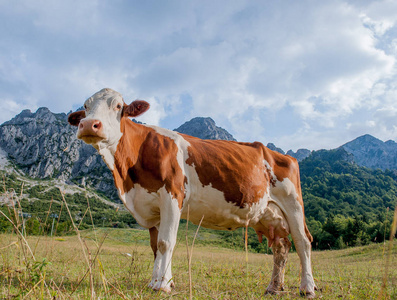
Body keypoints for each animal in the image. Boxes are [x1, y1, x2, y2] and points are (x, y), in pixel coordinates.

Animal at [68, 88, 316, 296]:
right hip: (268, 212)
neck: (127, 177)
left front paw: (162, 285)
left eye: (118, 106)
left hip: (293, 203)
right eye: (86, 106)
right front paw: (156, 282)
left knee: (303, 242)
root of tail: (279, 154)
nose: (89, 125)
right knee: (281, 247)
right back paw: (274, 287)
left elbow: (166, 242)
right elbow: (155, 246)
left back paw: (307, 288)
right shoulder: (152, 206)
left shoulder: (172, 196)